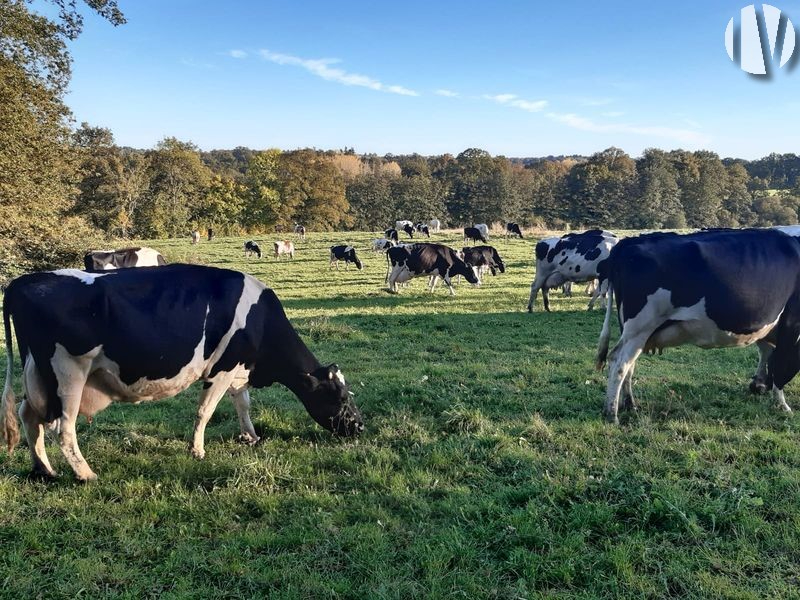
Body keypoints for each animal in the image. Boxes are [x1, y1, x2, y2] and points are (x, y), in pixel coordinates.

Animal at [1, 264, 364, 480]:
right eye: (341, 396)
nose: (360, 426)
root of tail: (24, 281)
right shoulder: (222, 369)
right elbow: (205, 411)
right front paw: (197, 450)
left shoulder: (239, 368)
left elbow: (243, 404)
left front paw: (251, 436)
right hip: (67, 372)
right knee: (63, 428)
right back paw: (85, 474)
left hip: (37, 373)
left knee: (29, 415)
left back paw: (44, 469)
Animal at [592, 227, 800, 424]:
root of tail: (628, 242)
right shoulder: (791, 323)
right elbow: (781, 364)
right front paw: (782, 404)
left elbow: (766, 353)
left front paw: (759, 385)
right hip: (640, 326)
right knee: (619, 362)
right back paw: (612, 414)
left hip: (633, 331)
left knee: (629, 364)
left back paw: (630, 404)